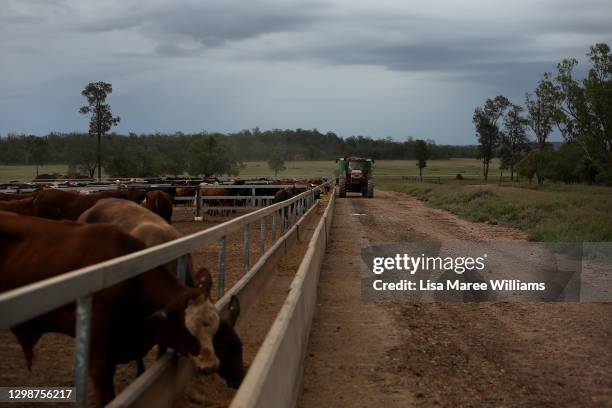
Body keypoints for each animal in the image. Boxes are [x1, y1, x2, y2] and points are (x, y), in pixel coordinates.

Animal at [0, 212, 220, 406]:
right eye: (188, 330)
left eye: (213, 328)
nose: (211, 366)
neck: (131, 280)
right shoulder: (98, 343)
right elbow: (102, 382)